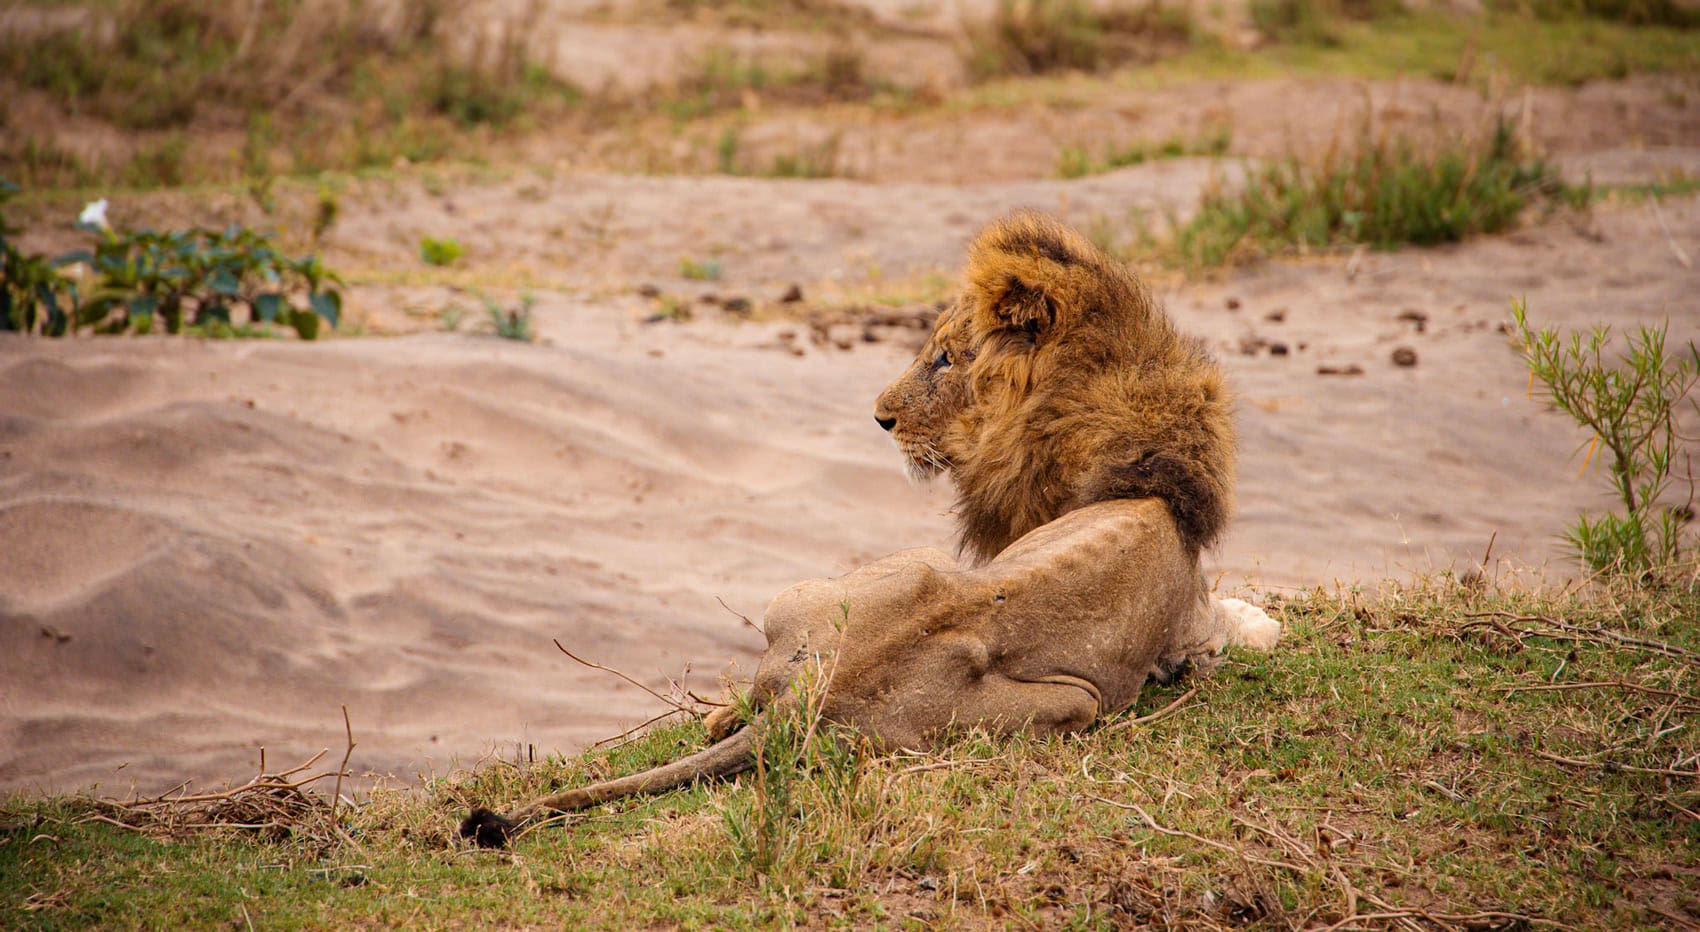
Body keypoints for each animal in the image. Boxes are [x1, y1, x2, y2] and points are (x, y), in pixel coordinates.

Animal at [460, 212, 1279, 848]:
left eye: (945, 359)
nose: (880, 418)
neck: (1139, 467)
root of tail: (816, 698)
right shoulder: (1192, 622)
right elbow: (1232, 628)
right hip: (1071, 700)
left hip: (832, 594)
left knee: (744, 700)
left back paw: (724, 718)